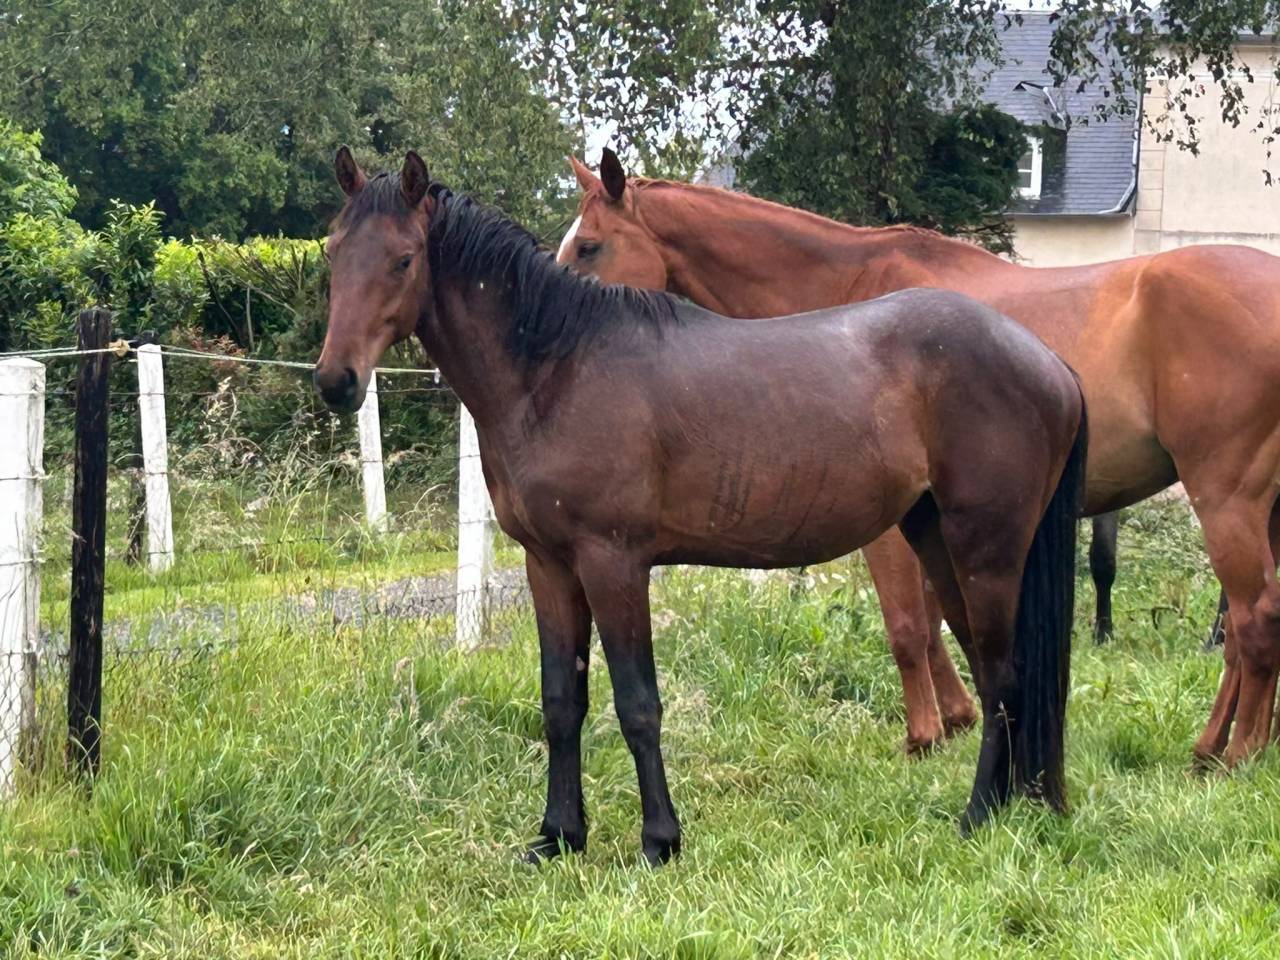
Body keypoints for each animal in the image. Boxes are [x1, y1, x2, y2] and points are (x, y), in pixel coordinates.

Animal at [315, 148, 1087, 863]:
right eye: (331, 251)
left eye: (404, 259)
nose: (335, 380)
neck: (557, 369)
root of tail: (1048, 363)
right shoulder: (549, 567)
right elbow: (562, 702)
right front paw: (559, 836)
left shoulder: (614, 564)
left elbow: (637, 705)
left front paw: (659, 840)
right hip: (938, 542)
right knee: (993, 675)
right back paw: (1009, 806)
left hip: (986, 550)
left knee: (1007, 676)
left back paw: (978, 815)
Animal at [558, 149, 1280, 768]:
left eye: (588, 246)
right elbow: (938, 619)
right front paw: (959, 717)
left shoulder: (890, 526)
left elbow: (908, 624)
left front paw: (926, 733)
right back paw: (1224, 745)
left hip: (1226, 500)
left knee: (1253, 619)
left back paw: (1235, 752)